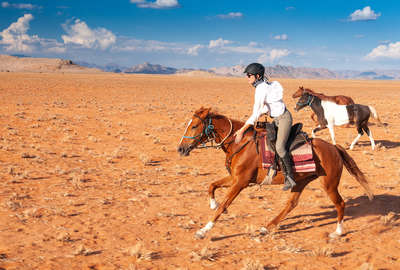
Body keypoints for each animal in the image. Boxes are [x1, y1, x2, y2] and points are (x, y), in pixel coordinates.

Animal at [177, 107, 374, 238]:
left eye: (194, 126)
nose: (180, 148)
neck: (240, 143)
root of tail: (333, 148)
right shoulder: (234, 178)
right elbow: (212, 186)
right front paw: (212, 204)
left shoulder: (240, 182)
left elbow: (225, 203)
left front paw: (204, 230)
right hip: (300, 181)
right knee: (291, 204)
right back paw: (268, 226)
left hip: (329, 184)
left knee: (340, 204)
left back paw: (337, 232)